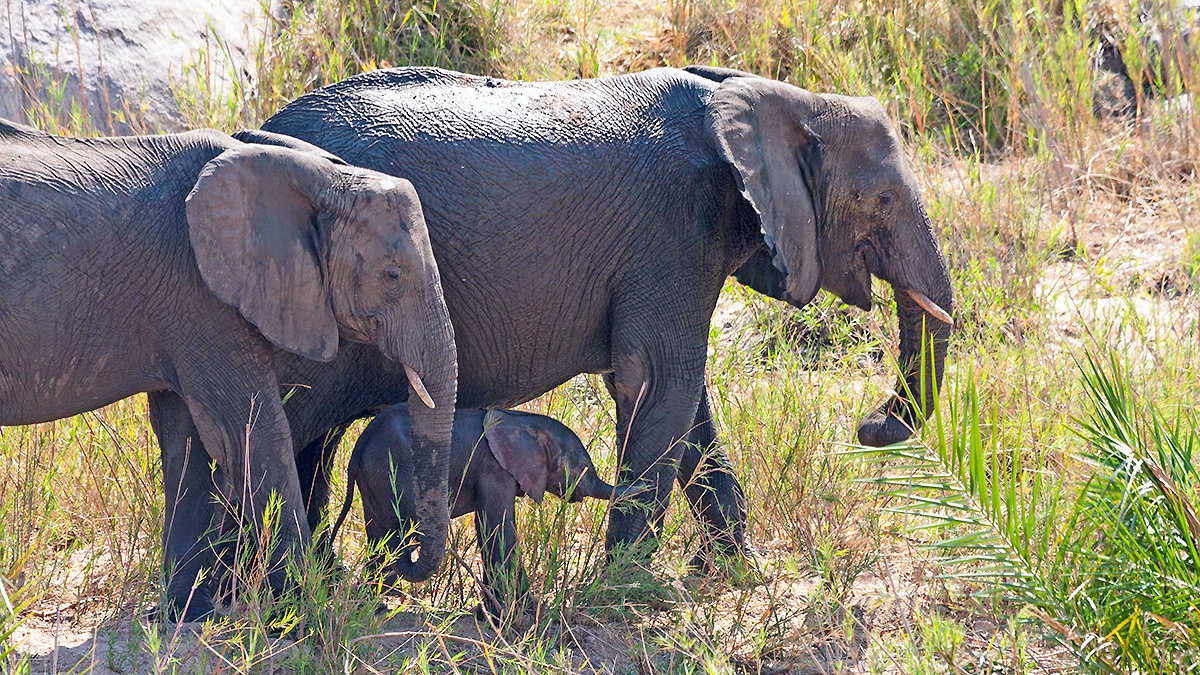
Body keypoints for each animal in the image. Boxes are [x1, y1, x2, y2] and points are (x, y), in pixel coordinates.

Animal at [0, 119, 458, 621]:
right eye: (393, 276)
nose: (405, 560)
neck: (313, 176)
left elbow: (189, 440)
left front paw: (187, 615)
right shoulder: (199, 291)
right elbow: (251, 431)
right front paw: (301, 613)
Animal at [158, 63, 953, 583]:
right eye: (883, 199)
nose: (870, 424)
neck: (756, 95)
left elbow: (685, 406)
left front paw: (743, 572)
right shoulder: (672, 235)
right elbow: (657, 384)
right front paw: (627, 587)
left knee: (306, 444)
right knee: (279, 436)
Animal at [329, 403, 634, 613]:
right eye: (583, 468)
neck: (524, 422)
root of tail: (359, 447)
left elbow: (487, 527)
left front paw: (491, 609)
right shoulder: (494, 469)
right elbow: (500, 527)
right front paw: (524, 609)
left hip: (372, 479)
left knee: (379, 534)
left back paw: (375, 602)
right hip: (387, 474)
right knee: (392, 533)